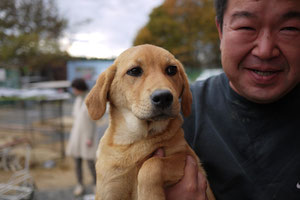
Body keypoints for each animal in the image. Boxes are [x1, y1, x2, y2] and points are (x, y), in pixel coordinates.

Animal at [85, 44, 214, 200]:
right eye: (134, 71)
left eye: (172, 69)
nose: (164, 97)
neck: (136, 140)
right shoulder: (109, 189)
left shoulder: (186, 157)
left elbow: (152, 165)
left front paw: (150, 195)